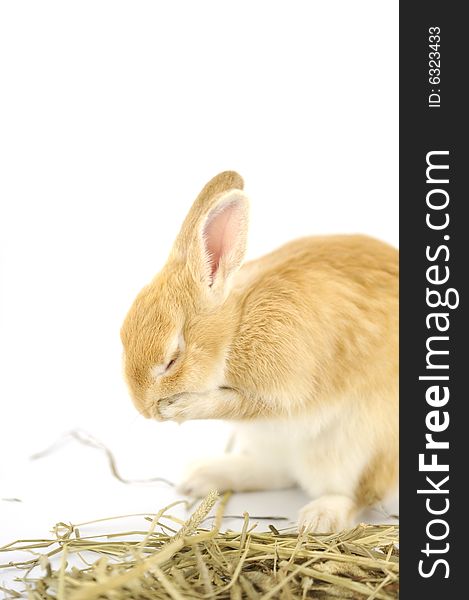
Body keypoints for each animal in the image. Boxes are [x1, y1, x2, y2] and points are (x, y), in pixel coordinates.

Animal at [120, 171, 398, 532]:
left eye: (171, 360)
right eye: (122, 336)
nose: (145, 411)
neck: (236, 325)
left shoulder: (281, 392)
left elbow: (234, 404)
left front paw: (179, 409)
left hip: (354, 451)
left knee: (356, 495)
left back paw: (319, 518)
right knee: (278, 472)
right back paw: (202, 476)